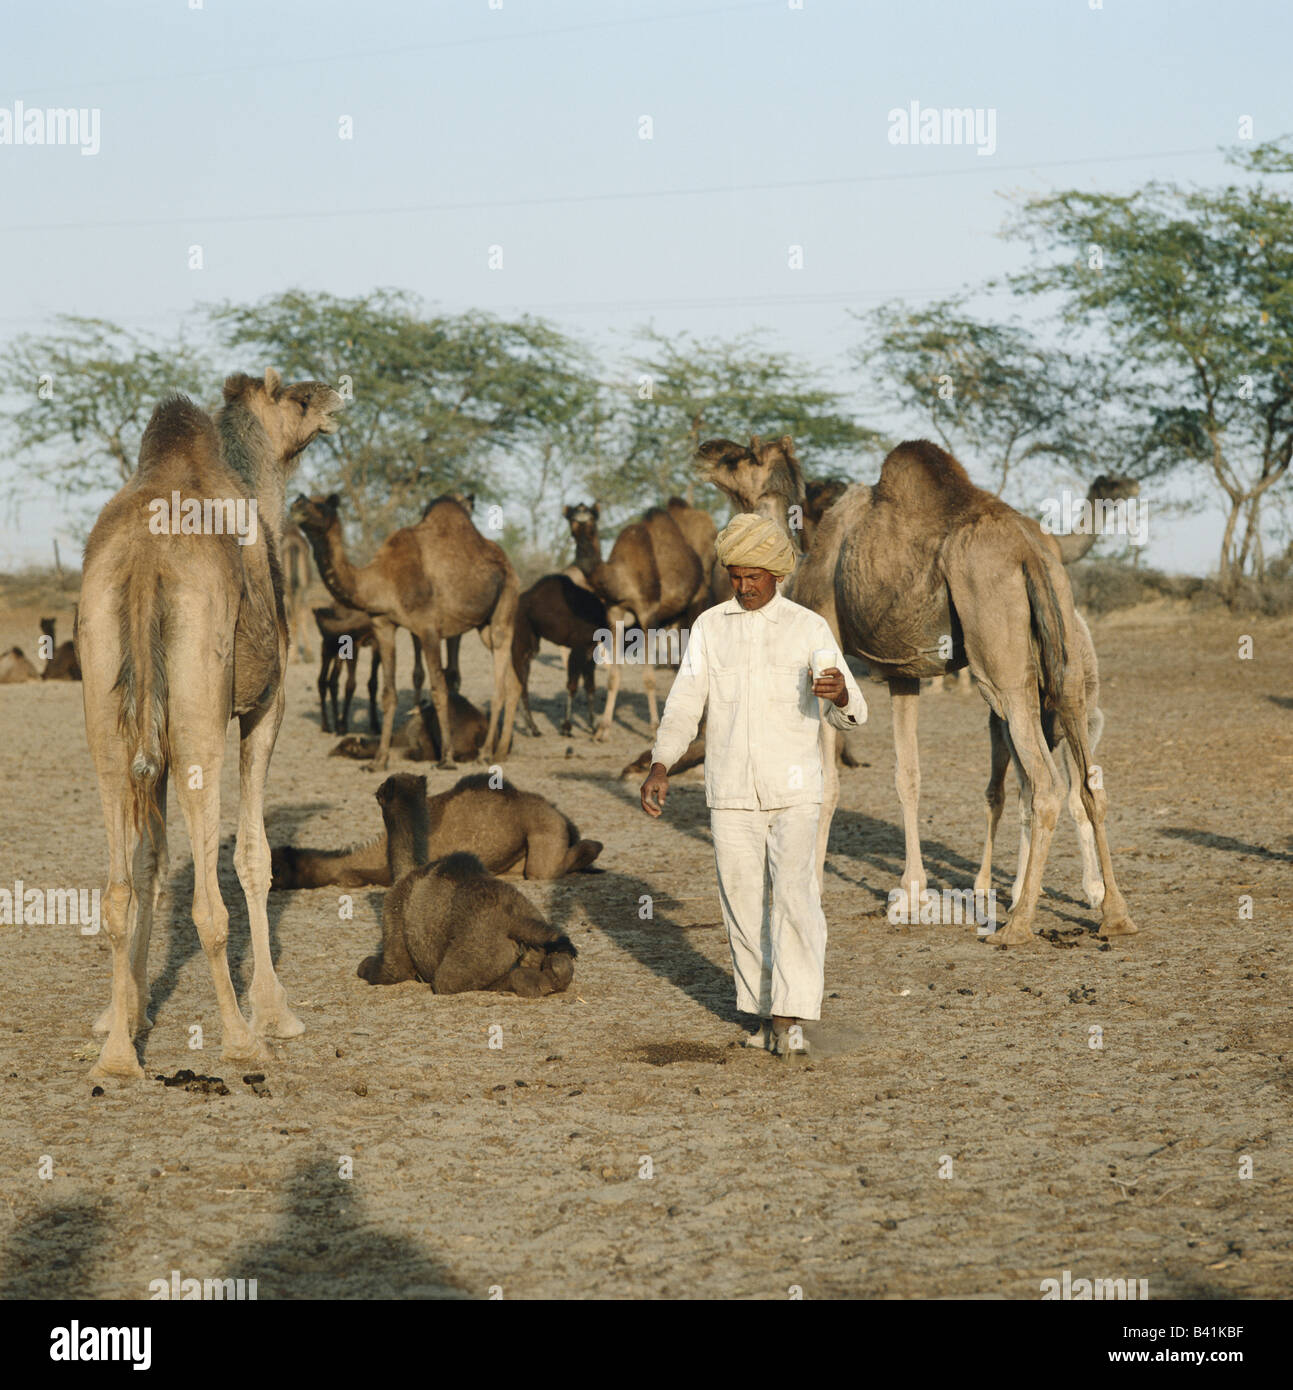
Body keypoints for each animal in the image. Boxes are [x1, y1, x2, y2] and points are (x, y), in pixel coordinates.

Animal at [77, 366, 340, 1073]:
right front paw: (276, 1012)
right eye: (298, 397)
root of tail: (144, 557)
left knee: (116, 884)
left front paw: (128, 1010)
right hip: (200, 705)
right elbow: (254, 855)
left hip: (106, 698)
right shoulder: (265, 707)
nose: (336, 396)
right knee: (206, 899)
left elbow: (148, 864)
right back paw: (241, 1039)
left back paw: (118, 1056)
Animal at [289, 492, 519, 772]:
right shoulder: (383, 625)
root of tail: (508, 564)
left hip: (505, 607)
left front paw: (446, 759)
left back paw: (485, 754)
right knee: (513, 683)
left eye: (322, 504)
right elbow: (388, 694)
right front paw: (378, 761)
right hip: (483, 625)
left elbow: (439, 690)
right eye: (303, 499)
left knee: (500, 684)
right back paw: (501, 751)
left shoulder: (428, 628)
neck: (381, 580)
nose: (296, 506)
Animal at [353, 772, 575, 1000]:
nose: (377, 790)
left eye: (382, 790)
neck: (406, 870)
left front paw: (364, 966)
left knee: (450, 980)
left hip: (471, 957)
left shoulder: (392, 914)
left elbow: (387, 969)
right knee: (559, 964)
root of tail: (514, 921)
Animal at [508, 569, 606, 739]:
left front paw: (593, 727)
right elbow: (572, 686)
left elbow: (590, 687)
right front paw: (566, 728)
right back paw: (533, 728)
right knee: (522, 683)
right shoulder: (579, 648)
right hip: (521, 638)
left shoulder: (590, 650)